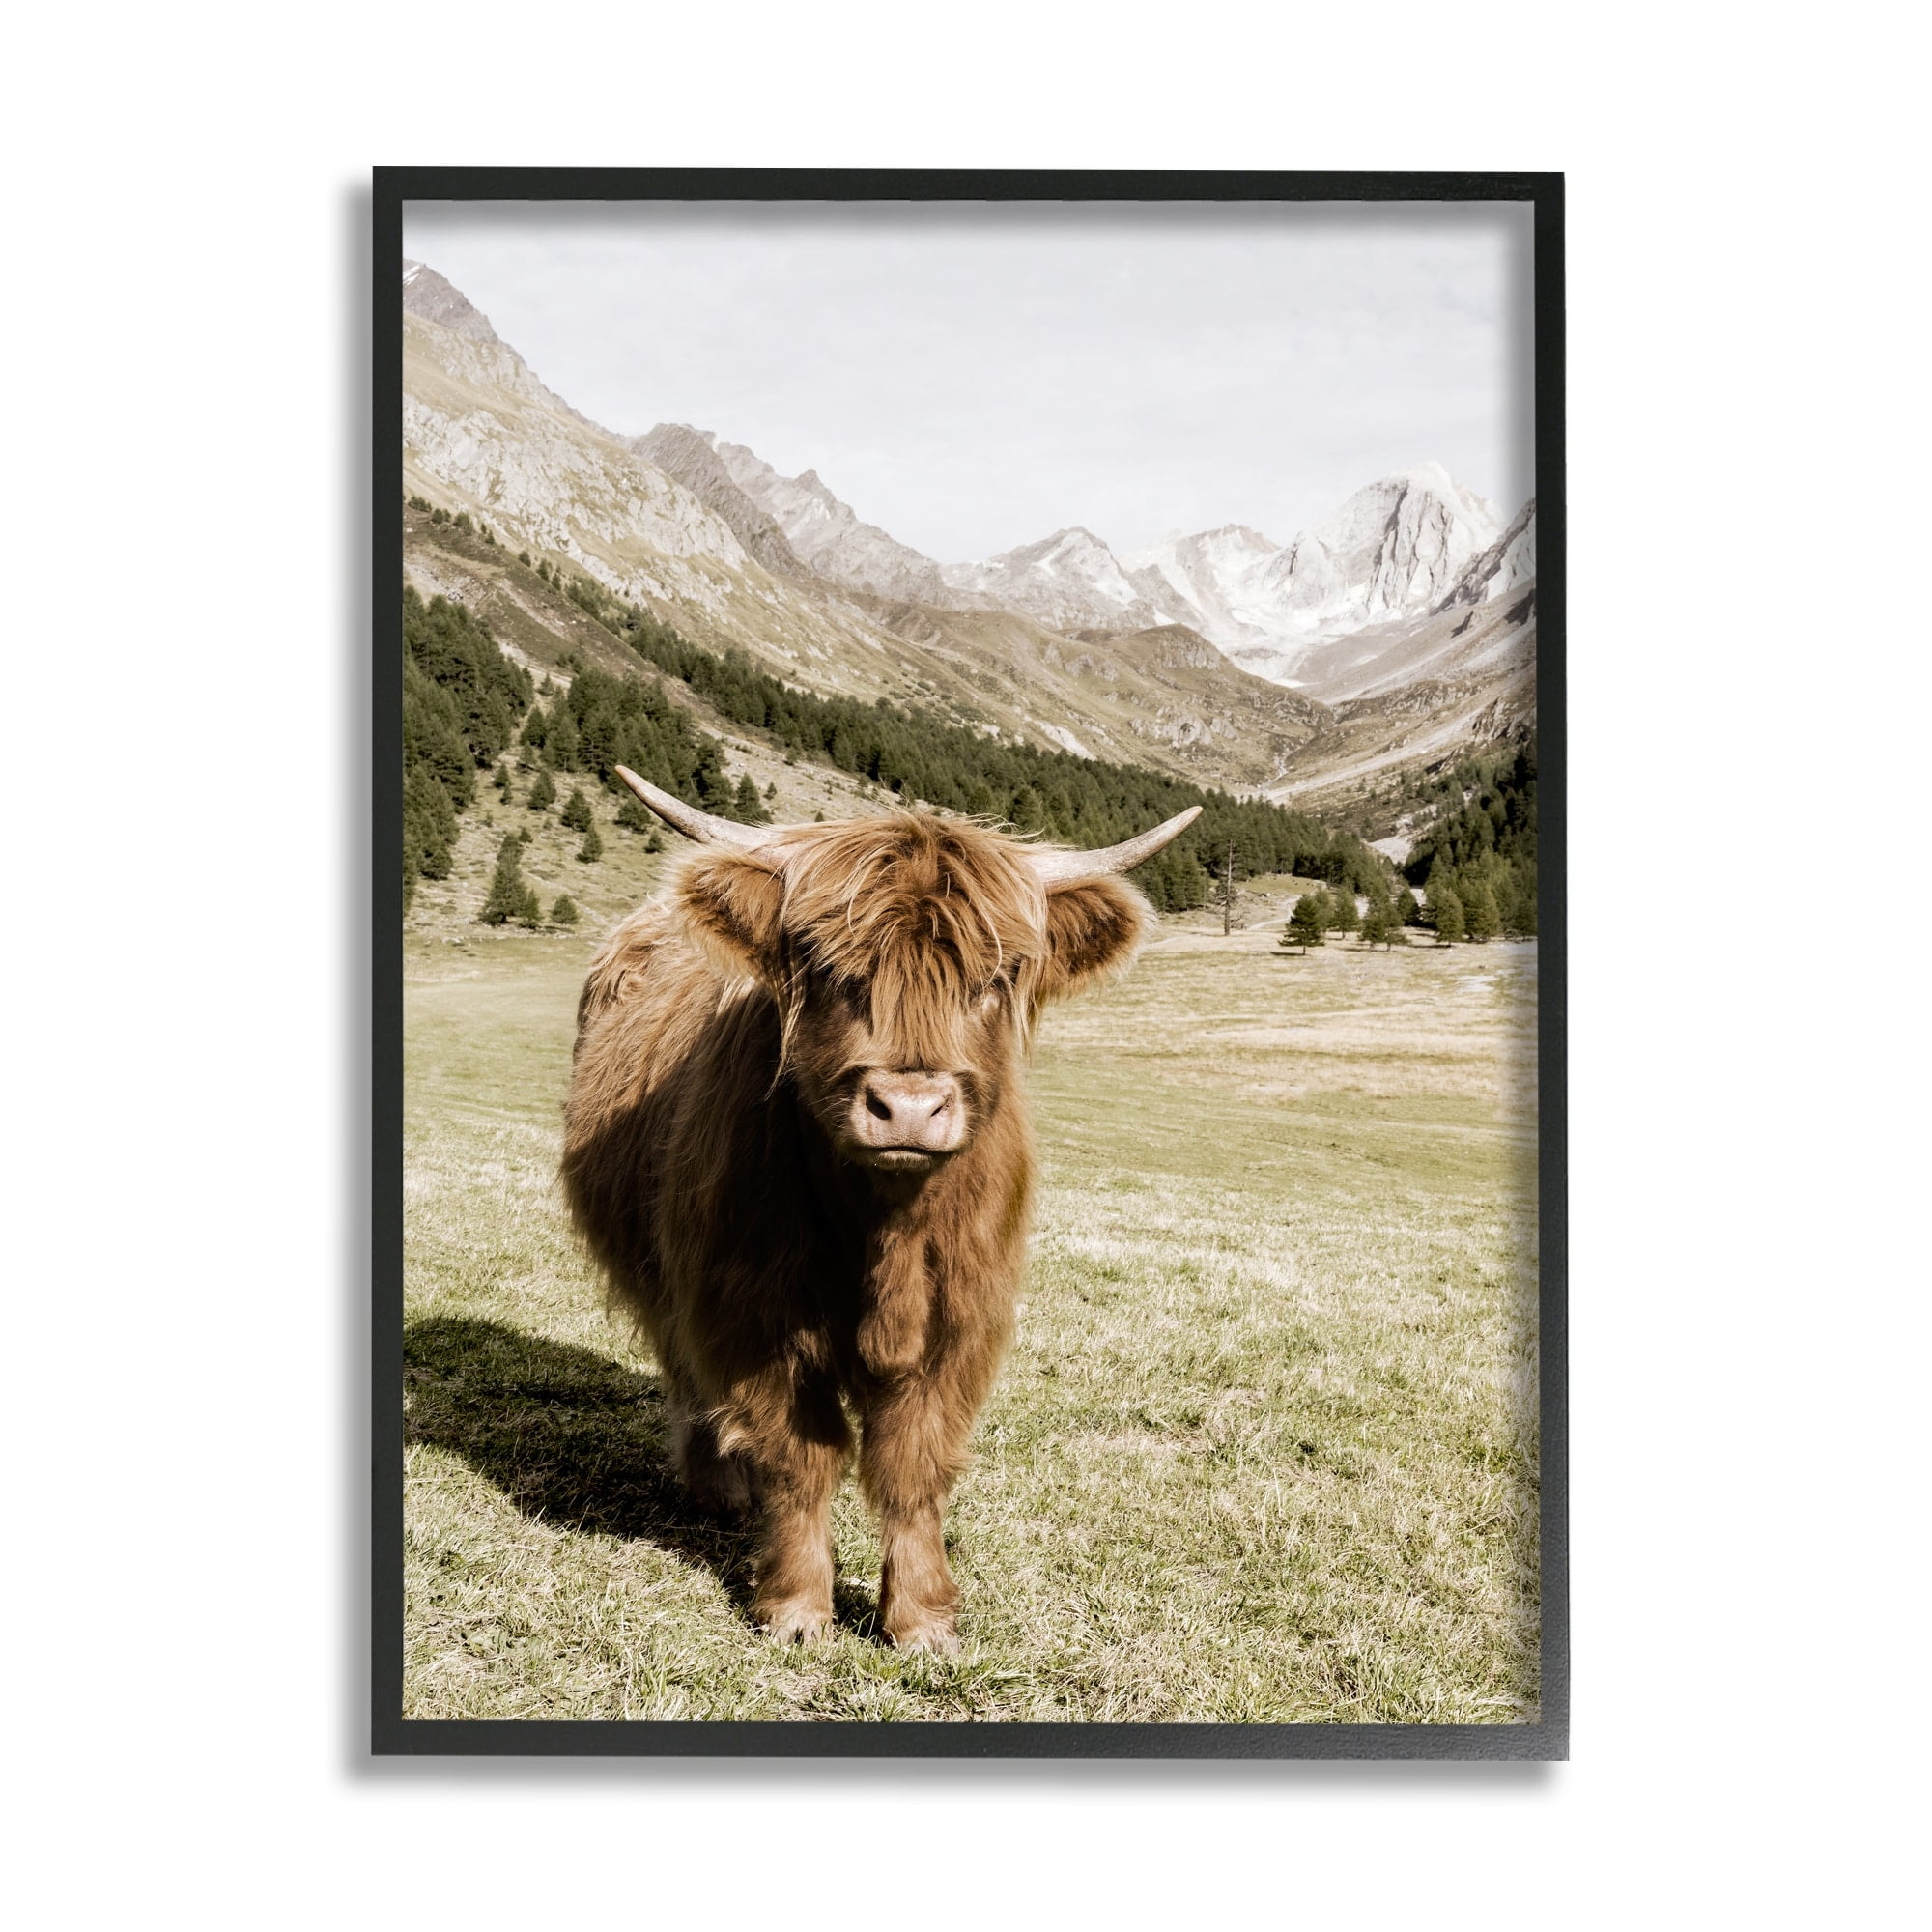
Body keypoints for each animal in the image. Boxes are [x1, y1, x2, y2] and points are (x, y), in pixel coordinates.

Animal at [561, 766, 1198, 1652]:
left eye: (993, 978)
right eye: (830, 968)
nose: (908, 1106)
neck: (885, 1234)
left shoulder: (961, 1319)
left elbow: (912, 1464)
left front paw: (921, 1617)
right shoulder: (749, 1309)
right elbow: (801, 1456)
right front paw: (797, 1608)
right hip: (668, 1277)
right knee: (685, 1370)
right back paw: (717, 1488)